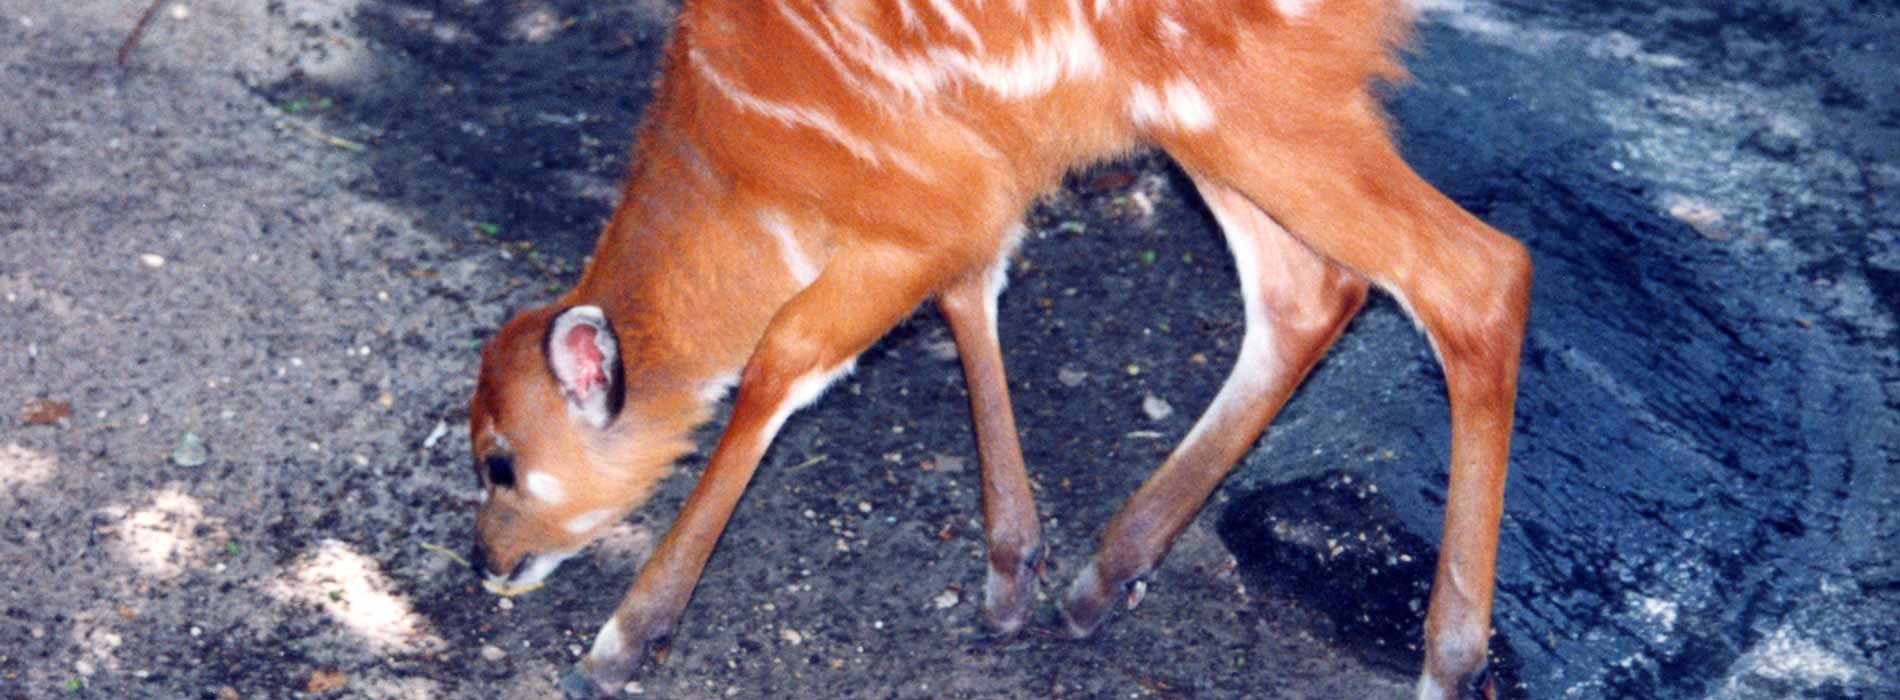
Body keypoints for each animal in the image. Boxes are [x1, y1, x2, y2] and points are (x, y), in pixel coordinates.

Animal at [464, 0, 1529, 697]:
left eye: (500, 462)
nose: (486, 560)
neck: (741, 167)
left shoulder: (910, 202)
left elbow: (781, 362)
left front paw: (622, 640)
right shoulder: (964, 195)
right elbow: (971, 296)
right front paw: (1014, 574)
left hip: (1249, 100)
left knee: (1478, 274)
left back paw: (1450, 661)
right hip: (1216, 115)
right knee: (1310, 289)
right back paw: (1102, 579)